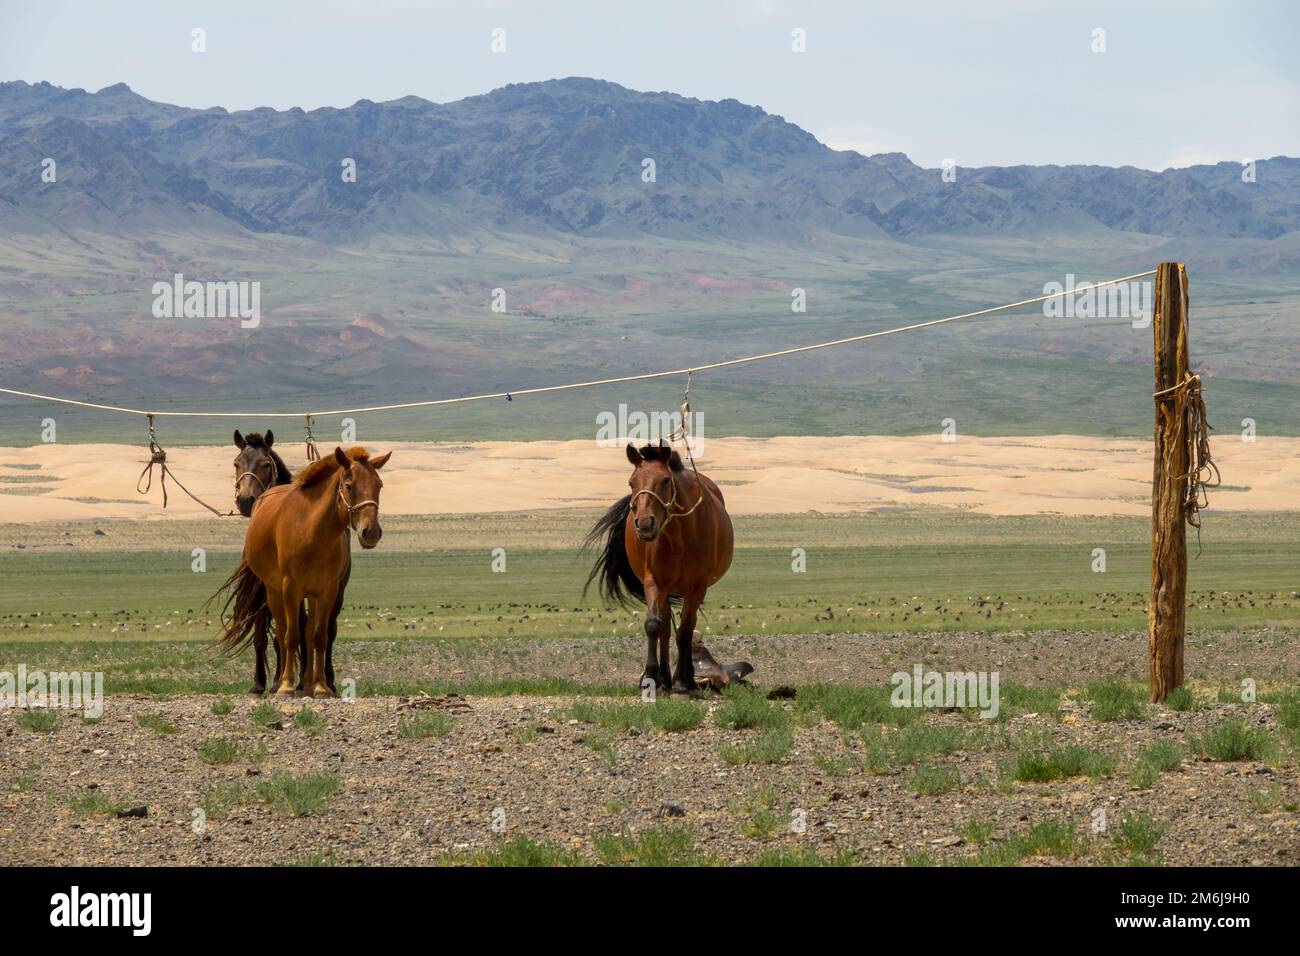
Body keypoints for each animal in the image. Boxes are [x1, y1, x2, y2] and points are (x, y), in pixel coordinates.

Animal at [214, 446, 386, 698]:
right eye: (349, 485)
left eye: (379, 485)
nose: (371, 532)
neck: (313, 531)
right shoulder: (290, 589)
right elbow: (290, 636)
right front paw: (285, 685)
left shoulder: (327, 591)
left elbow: (319, 637)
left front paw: (321, 686)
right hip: (274, 592)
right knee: (283, 631)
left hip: (312, 595)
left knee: (309, 632)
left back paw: (307, 683)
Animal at [585, 441, 753, 694]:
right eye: (631, 482)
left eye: (664, 480)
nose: (645, 523)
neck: (679, 537)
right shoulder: (654, 583)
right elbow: (654, 626)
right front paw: (652, 676)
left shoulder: (697, 588)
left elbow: (685, 631)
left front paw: (683, 682)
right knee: (664, 630)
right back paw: (664, 678)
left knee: (687, 628)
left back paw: (687, 678)